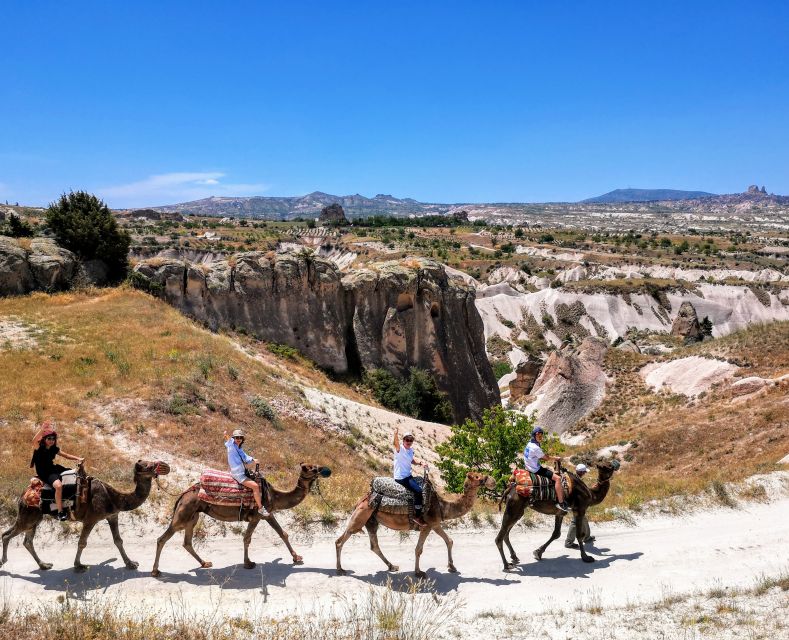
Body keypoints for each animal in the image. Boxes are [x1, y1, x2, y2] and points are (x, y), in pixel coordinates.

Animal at [0, 458, 170, 572]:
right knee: (7, 535)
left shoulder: (112, 515)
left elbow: (118, 540)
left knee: (27, 540)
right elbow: (82, 542)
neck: (115, 498)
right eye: (149, 465)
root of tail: (24, 493)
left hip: (35, 518)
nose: (165, 465)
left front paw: (131, 563)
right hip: (29, 514)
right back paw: (4, 562)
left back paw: (44, 565)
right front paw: (79, 565)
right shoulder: (91, 519)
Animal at [151, 460, 330, 576]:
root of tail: (183, 494)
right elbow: (247, 538)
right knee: (162, 538)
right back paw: (155, 571)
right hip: (183, 514)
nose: (325, 469)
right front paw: (248, 563)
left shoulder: (268, 513)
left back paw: (205, 563)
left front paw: (296, 557)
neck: (274, 495)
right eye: (312, 468)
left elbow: (282, 533)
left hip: (193, 516)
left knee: (187, 542)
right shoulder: (258, 516)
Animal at [336, 470, 496, 580]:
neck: (442, 506)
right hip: (360, 515)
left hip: (371, 520)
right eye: (477, 476)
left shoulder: (435, 524)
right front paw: (419, 572)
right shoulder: (428, 525)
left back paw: (392, 566)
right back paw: (340, 570)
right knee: (340, 540)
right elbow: (419, 549)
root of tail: (363, 498)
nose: (492, 480)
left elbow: (449, 541)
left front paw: (452, 567)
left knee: (374, 545)